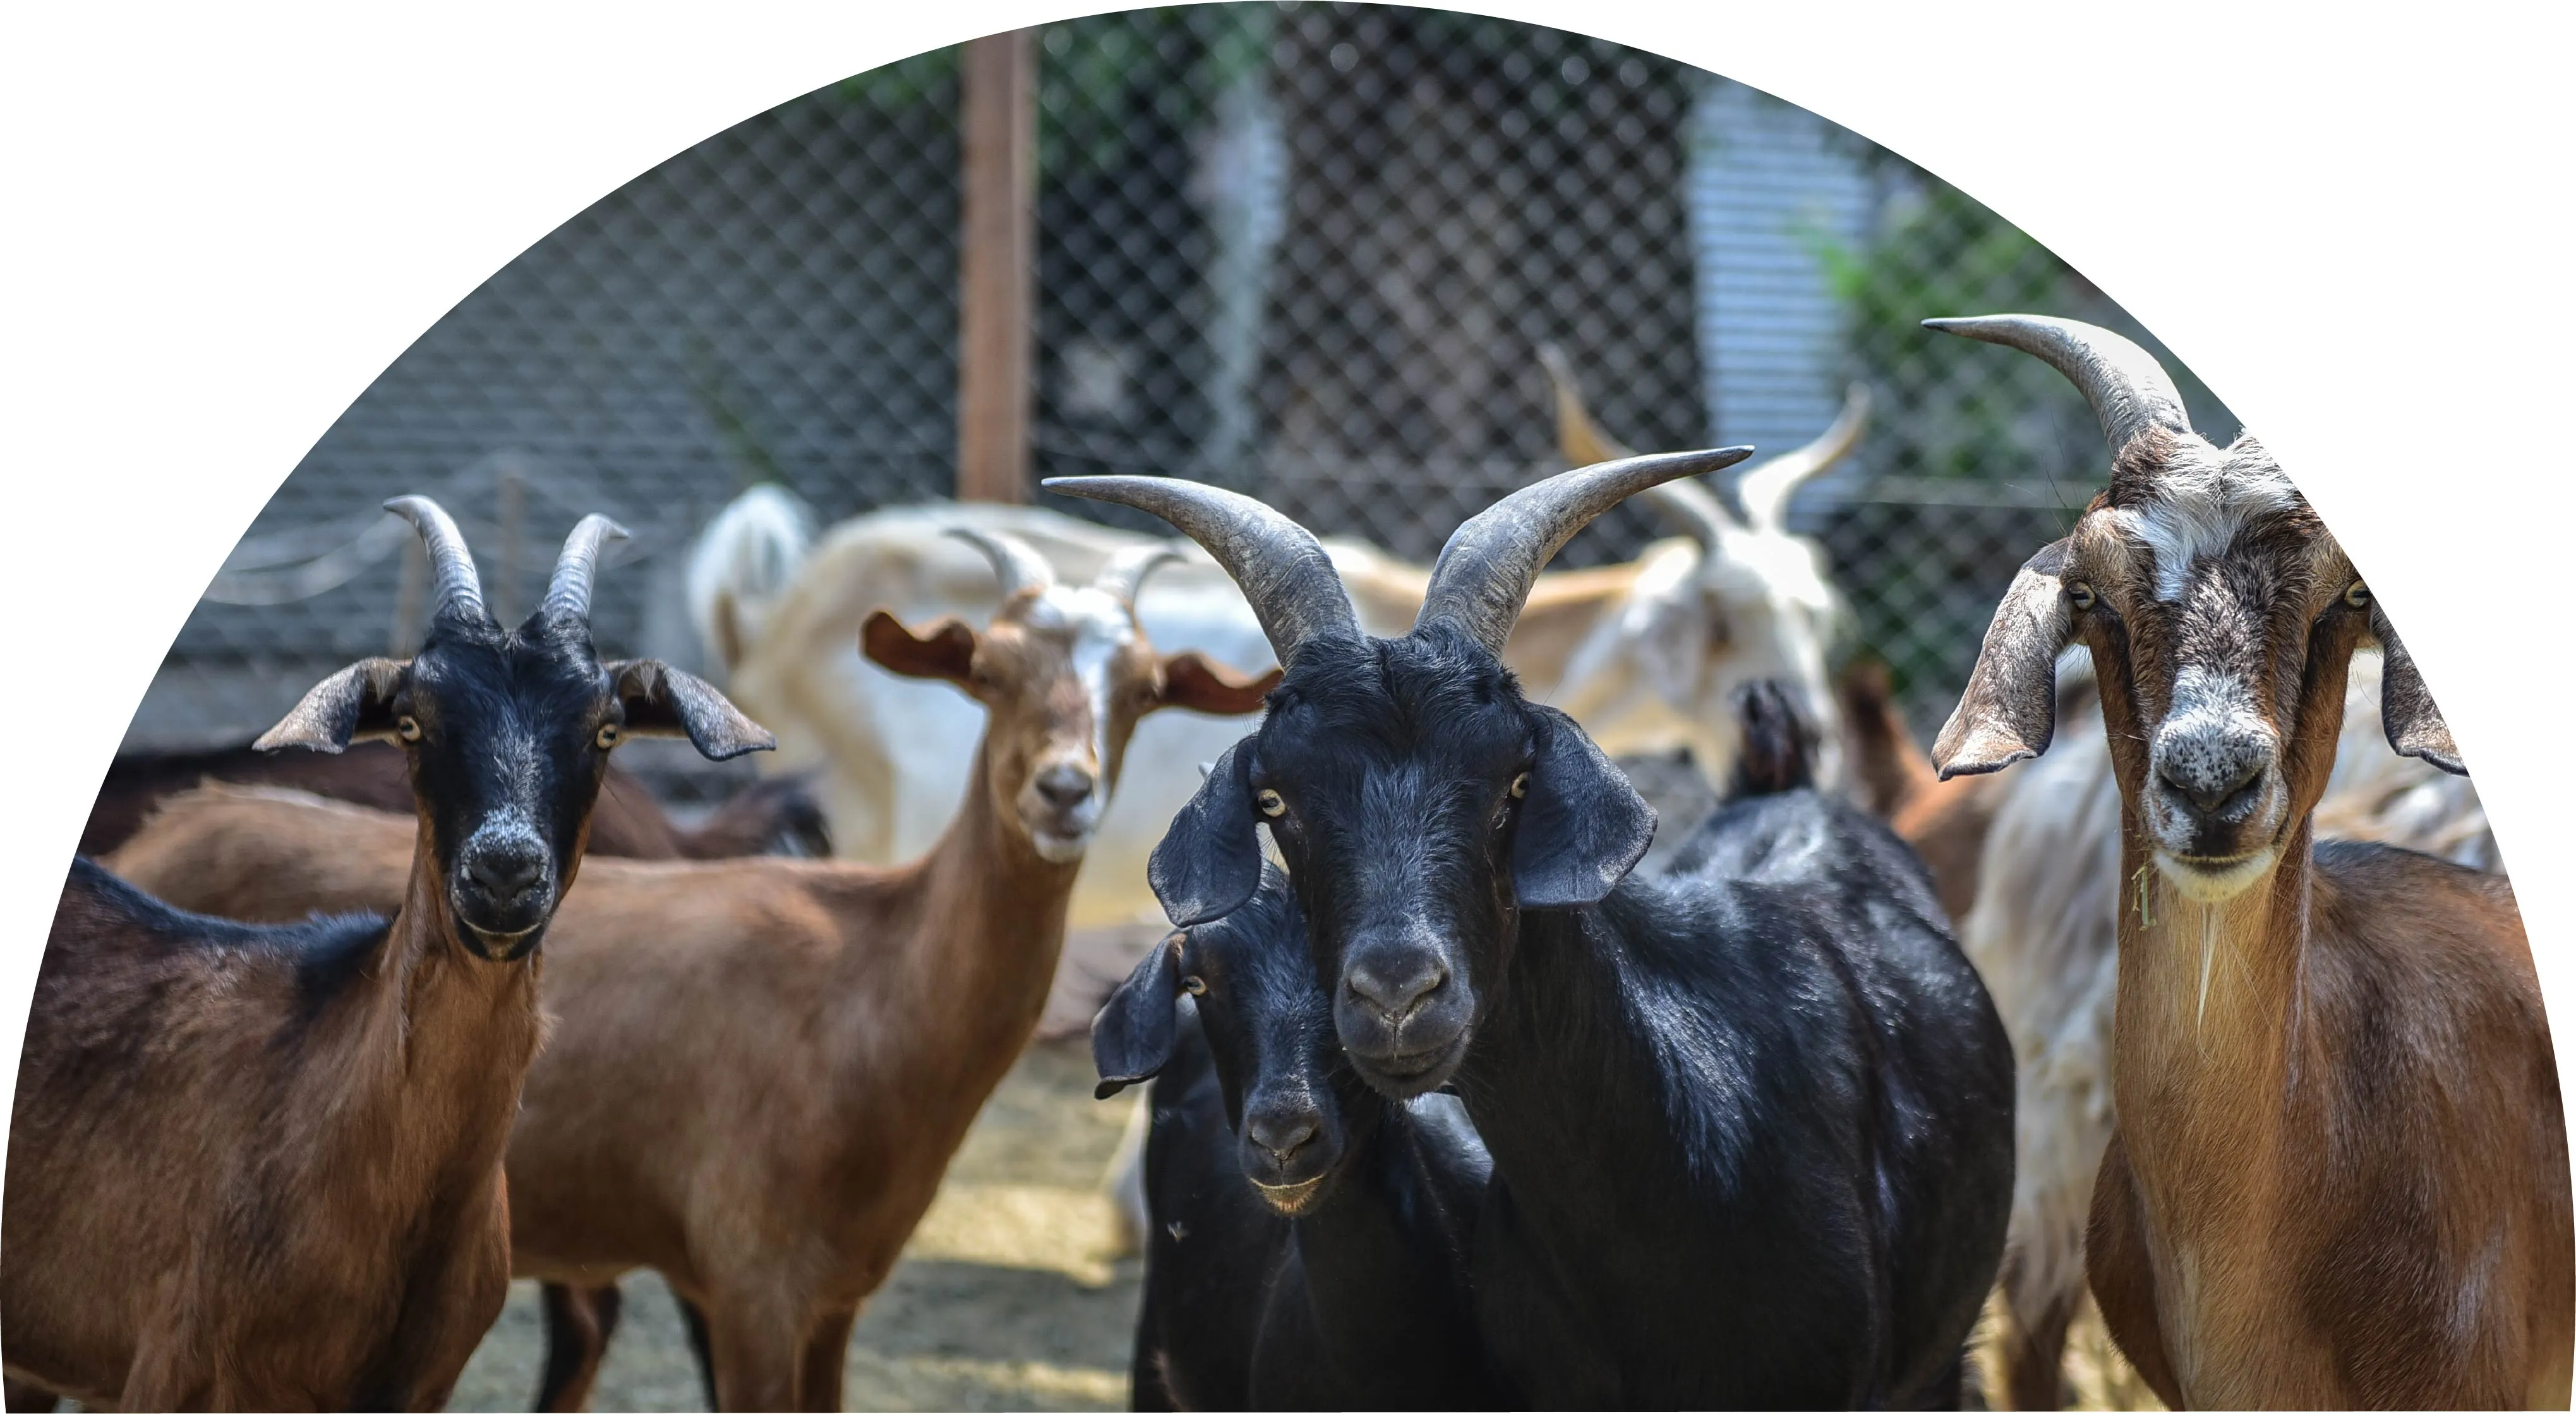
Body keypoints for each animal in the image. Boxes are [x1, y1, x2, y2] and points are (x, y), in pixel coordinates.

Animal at [106, 529, 1279, 1411]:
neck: (874, 979)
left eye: (1141, 686)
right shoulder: (749, 1279)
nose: (1064, 790)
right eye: (984, 672)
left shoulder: (835, 1298)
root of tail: (164, 833)